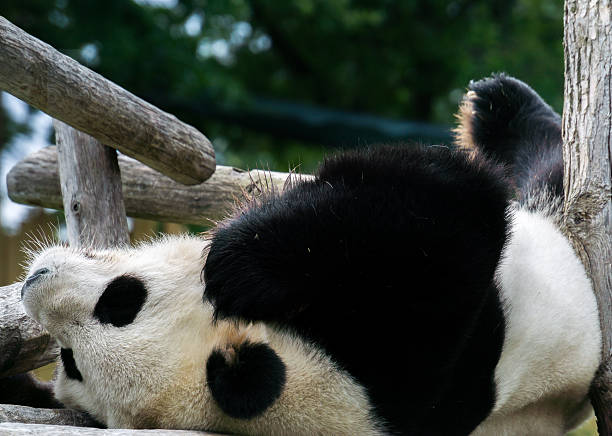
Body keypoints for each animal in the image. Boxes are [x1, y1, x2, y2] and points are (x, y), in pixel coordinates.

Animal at [15, 73, 604, 434]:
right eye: (69, 361)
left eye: (121, 302)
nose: (33, 282)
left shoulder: (400, 341)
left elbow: (439, 207)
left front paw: (233, 264)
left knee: (541, 168)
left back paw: (500, 101)